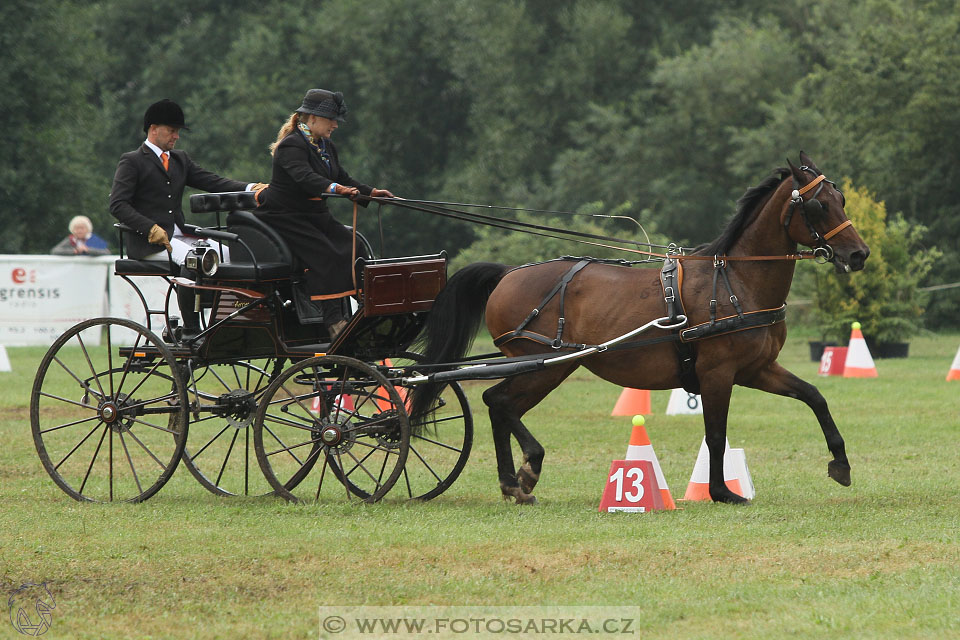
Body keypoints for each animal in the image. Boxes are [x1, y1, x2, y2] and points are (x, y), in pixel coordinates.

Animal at [410, 154, 872, 504]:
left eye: (840, 198)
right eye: (819, 206)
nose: (859, 254)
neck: (736, 281)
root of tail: (508, 274)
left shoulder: (758, 370)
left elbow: (814, 397)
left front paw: (840, 463)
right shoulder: (717, 374)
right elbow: (716, 434)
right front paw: (722, 492)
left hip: (549, 368)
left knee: (502, 406)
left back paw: (516, 481)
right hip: (543, 364)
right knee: (497, 401)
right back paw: (522, 473)